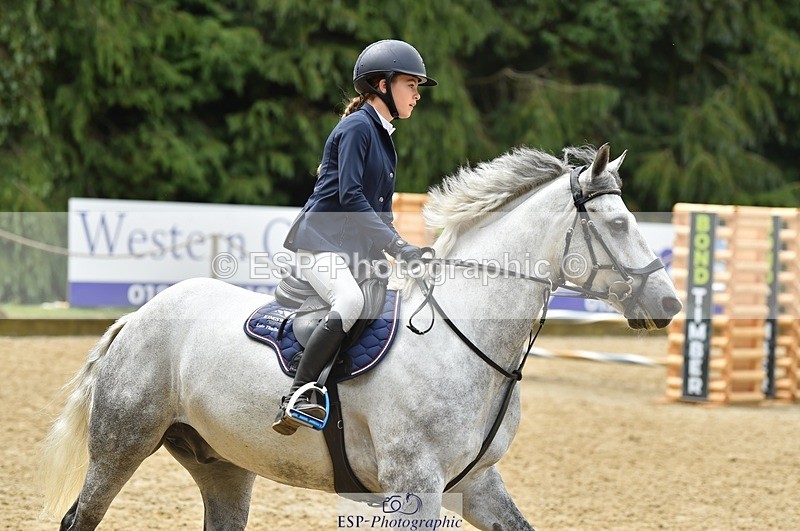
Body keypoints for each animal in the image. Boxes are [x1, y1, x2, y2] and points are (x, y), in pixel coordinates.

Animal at [41, 144, 681, 530]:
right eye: (619, 223)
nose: (669, 304)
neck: (466, 342)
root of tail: (140, 316)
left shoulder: (479, 484)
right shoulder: (414, 486)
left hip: (222, 463)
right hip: (123, 443)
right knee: (81, 517)